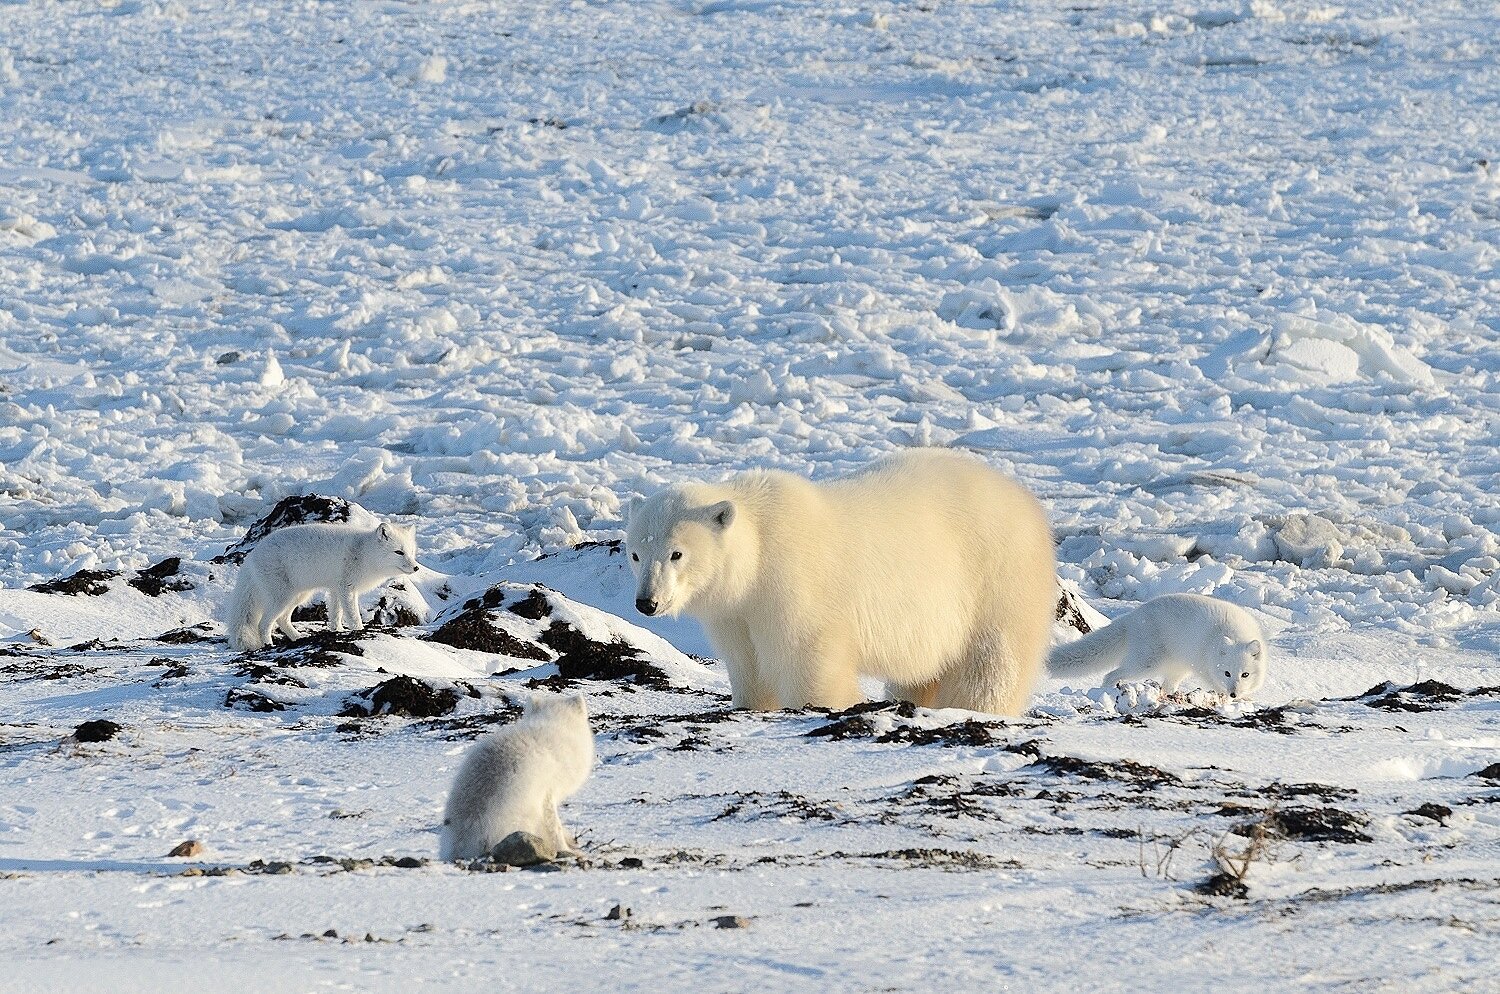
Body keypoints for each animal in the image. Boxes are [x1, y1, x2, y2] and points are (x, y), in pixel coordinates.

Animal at [219, 521, 417, 653]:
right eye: (399, 552)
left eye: (411, 552)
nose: (416, 568)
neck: (364, 553)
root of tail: (252, 555)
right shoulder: (347, 589)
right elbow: (353, 617)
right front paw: (359, 632)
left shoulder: (336, 589)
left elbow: (335, 615)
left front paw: (337, 632)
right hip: (282, 597)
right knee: (264, 624)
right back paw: (269, 645)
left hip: (298, 596)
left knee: (282, 619)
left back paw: (298, 638)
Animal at [621, 449, 1056, 716]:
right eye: (636, 554)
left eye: (677, 554)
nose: (647, 602)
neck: (760, 549)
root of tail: (1024, 499)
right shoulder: (736, 613)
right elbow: (749, 665)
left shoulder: (794, 589)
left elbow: (810, 664)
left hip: (996, 579)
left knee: (990, 665)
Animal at [1050, 593, 1272, 704]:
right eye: (1227, 673)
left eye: (1245, 674)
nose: (1234, 693)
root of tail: (1131, 617)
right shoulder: (1206, 669)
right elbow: (1217, 686)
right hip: (1147, 663)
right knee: (1110, 674)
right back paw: (1107, 692)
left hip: (1176, 667)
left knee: (1167, 686)